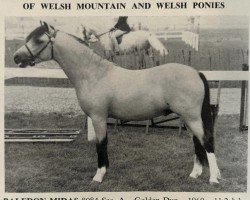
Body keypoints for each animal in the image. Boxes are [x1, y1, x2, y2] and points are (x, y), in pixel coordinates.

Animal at [13, 21, 221, 184]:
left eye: (39, 40)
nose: (16, 57)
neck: (93, 74)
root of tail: (196, 72)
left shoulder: (98, 117)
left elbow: (101, 144)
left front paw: (99, 175)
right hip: (188, 118)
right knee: (197, 142)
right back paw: (195, 174)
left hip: (192, 117)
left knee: (207, 141)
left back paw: (213, 178)